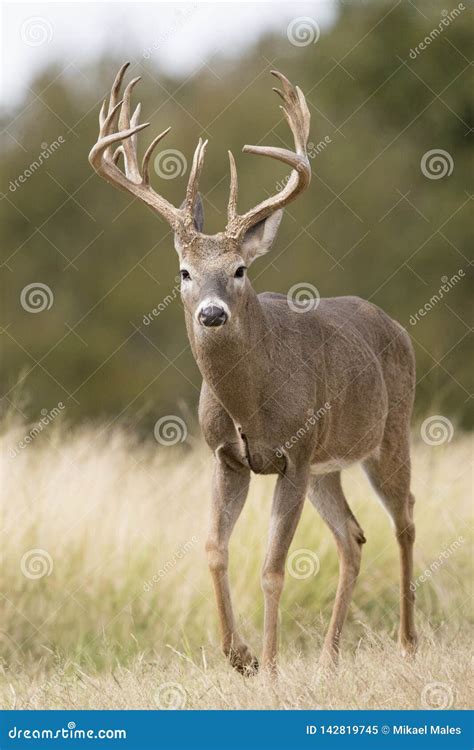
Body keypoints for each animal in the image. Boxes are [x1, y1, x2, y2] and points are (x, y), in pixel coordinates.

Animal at [90, 63, 418, 676]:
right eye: (184, 271)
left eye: (240, 269)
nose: (212, 313)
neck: (252, 401)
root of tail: (395, 324)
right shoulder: (228, 457)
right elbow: (214, 550)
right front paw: (239, 656)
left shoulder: (294, 453)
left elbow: (271, 567)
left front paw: (267, 664)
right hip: (328, 465)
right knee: (353, 536)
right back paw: (329, 658)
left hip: (389, 433)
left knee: (404, 519)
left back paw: (408, 642)